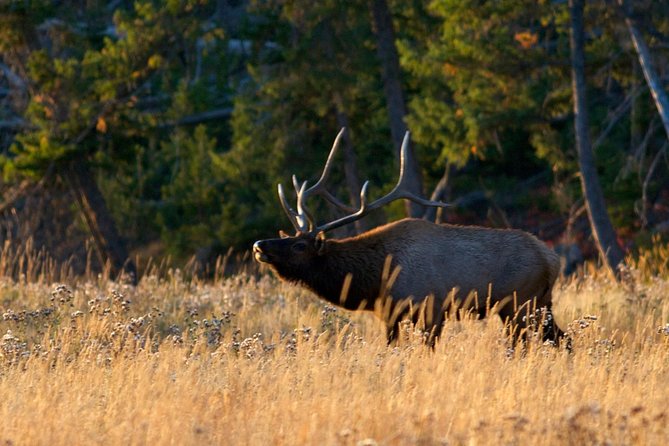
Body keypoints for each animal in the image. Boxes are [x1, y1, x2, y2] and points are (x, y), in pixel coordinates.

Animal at [253, 129, 560, 344]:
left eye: (299, 245)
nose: (259, 245)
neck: (376, 279)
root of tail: (553, 259)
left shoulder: (430, 309)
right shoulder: (389, 315)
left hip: (519, 304)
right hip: (541, 304)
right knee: (562, 340)